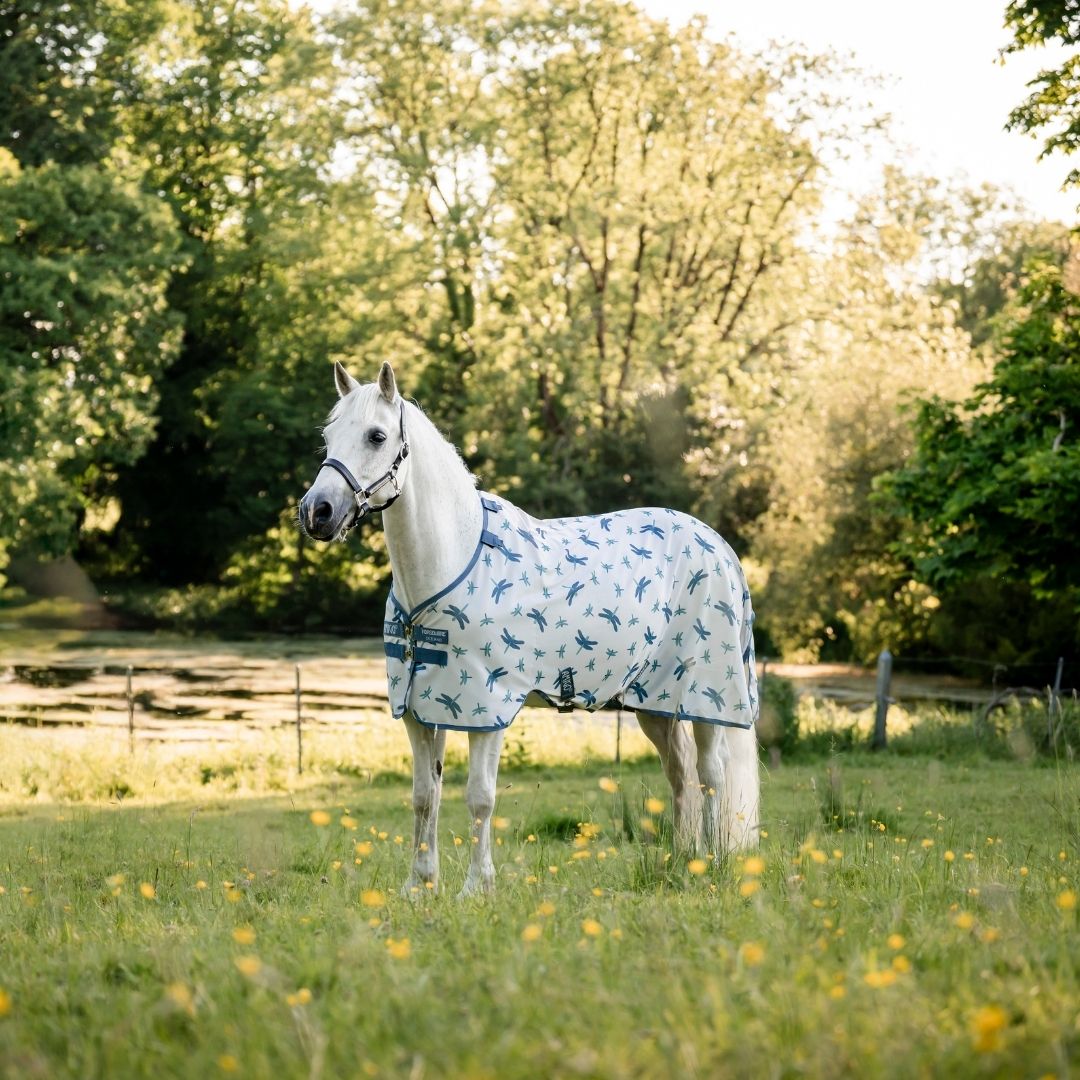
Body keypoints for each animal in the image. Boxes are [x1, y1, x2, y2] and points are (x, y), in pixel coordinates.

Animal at [299, 361, 760, 896]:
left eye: (376, 436)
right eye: (328, 436)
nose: (317, 512)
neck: (451, 562)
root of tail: (717, 545)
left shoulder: (487, 709)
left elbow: (479, 796)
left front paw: (476, 888)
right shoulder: (420, 709)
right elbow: (423, 795)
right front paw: (419, 887)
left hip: (705, 697)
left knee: (711, 774)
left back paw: (713, 864)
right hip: (655, 702)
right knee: (681, 773)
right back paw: (685, 862)